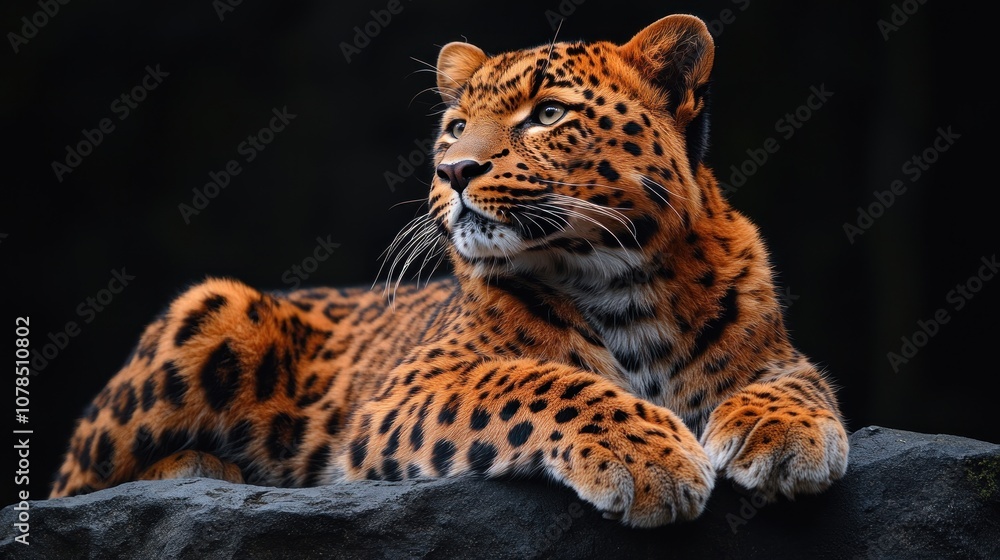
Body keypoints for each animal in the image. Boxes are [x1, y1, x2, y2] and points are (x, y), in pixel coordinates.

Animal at [50, 14, 849, 528]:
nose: (453, 170)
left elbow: (796, 380)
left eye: (548, 114)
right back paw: (202, 471)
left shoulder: (773, 351)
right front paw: (649, 455)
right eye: (456, 126)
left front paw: (785, 436)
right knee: (72, 489)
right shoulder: (408, 389)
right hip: (212, 308)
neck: (623, 281)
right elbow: (540, 381)